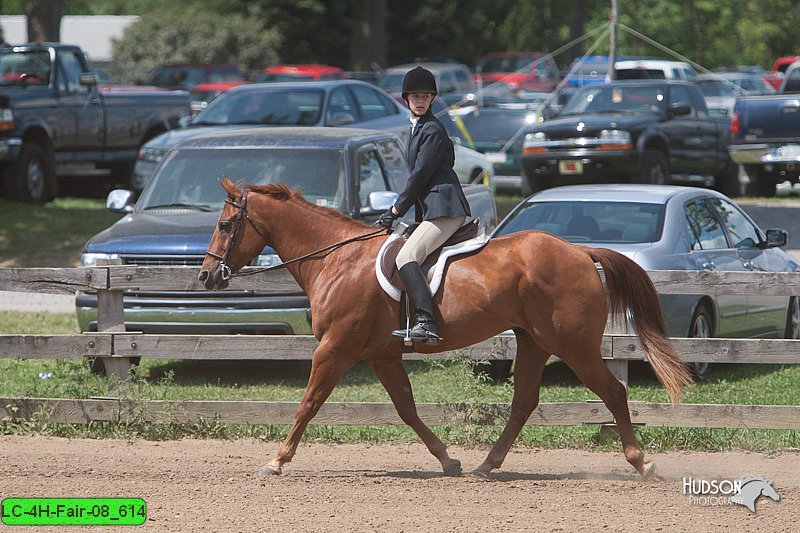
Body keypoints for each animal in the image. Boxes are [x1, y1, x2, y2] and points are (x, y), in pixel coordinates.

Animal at [200, 178, 692, 478]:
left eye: (224, 224)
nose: (206, 276)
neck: (335, 259)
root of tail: (580, 251)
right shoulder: (382, 354)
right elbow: (406, 409)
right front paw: (448, 459)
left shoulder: (335, 349)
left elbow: (307, 405)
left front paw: (276, 461)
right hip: (533, 341)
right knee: (524, 401)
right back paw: (485, 465)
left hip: (574, 345)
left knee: (613, 392)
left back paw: (642, 463)